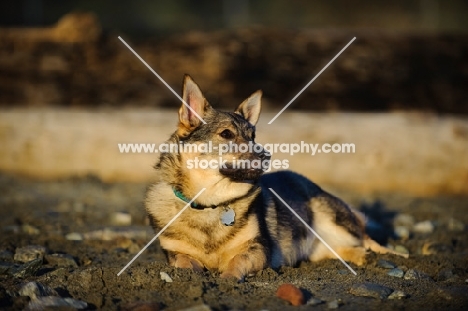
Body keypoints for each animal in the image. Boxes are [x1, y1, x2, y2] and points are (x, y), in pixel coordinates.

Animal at [145, 75, 406, 280]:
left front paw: (228, 279)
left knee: (367, 239)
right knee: (348, 250)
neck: (211, 203)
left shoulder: (258, 250)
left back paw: (394, 255)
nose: (266, 155)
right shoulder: (175, 253)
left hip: (335, 220)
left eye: (252, 136)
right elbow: (184, 264)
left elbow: (236, 262)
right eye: (227, 134)